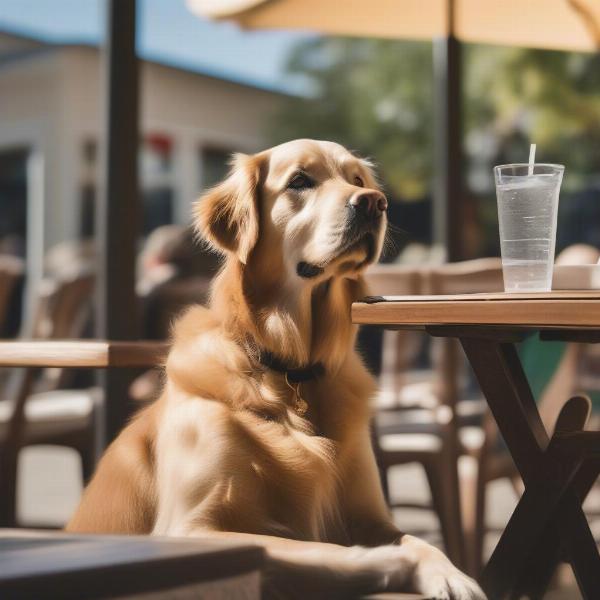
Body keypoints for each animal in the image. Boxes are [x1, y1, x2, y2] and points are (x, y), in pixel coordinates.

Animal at [68, 138, 486, 596]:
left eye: (357, 179)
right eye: (299, 181)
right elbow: (319, 548)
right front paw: (390, 563)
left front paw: (452, 573)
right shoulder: (191, 528)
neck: (289, 370)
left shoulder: (373, 517)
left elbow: (418, 539)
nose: (374, 203)